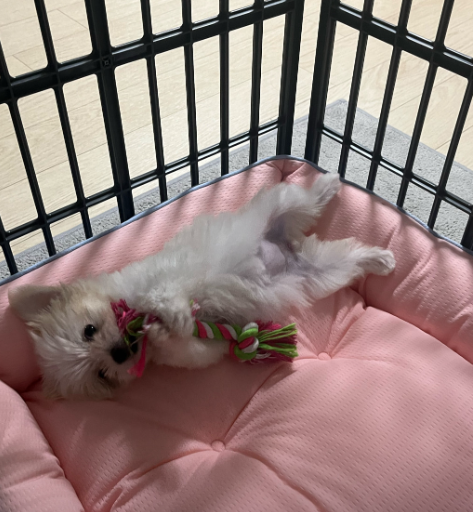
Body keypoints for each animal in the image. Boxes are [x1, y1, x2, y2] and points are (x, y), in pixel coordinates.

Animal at [9, 174, 395, 399]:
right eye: (102, 375)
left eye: (89, 330)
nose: (119, 354)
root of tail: (286, 247)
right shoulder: (203, 350)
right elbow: (191, 349)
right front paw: (167, 331)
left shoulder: (158, 277)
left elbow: (161, 294)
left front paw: (173, 316)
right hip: (322, 274)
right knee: (349, 258)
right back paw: (379, 258)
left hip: (277, 205)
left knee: (303, 198)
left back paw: (328, 183)